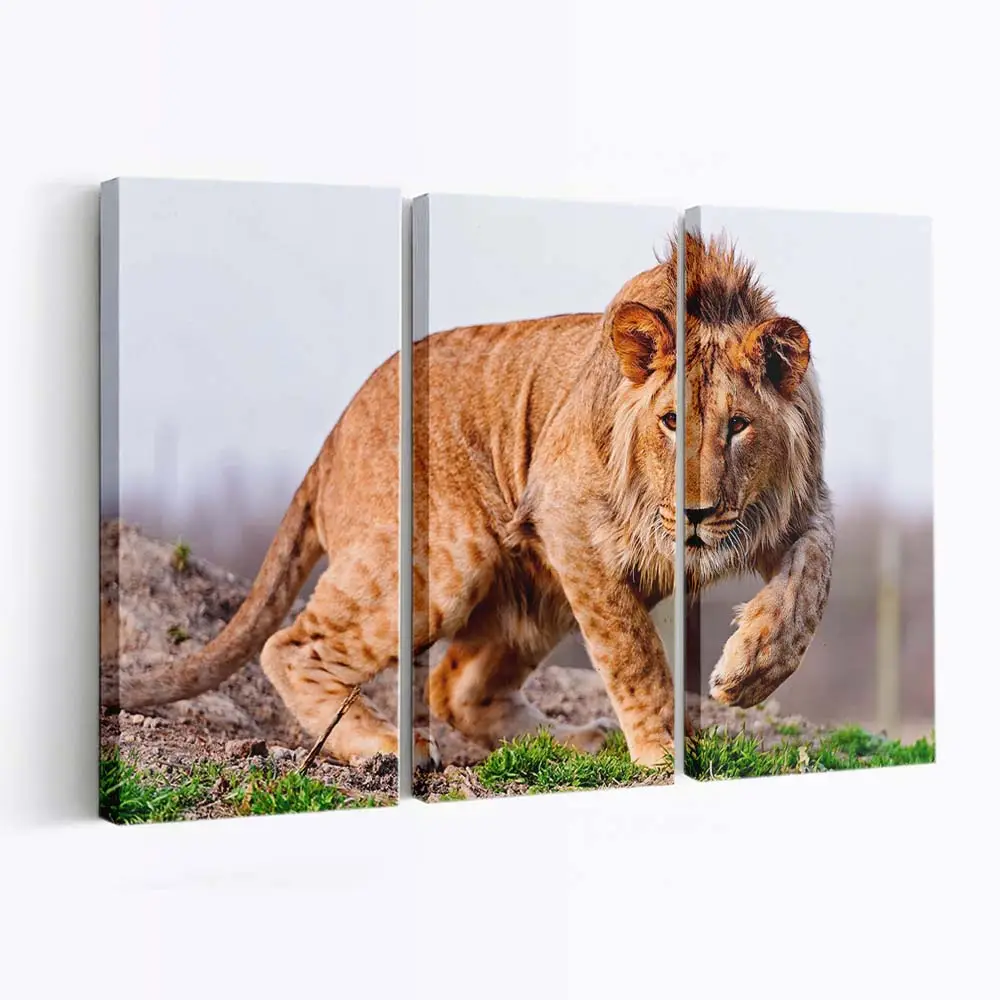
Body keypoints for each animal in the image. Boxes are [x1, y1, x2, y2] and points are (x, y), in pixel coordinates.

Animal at [107, 229, 833, 768]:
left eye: (737, 426)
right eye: (672, 422)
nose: (696, 514)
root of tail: (332, 440)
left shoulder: (800, 507)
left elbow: (810, 583)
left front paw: (751, 670)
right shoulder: (569, 520)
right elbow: (634, 653)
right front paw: (661, 751)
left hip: (532, 593)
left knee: (453, 686)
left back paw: (575, 740)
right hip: (449, 559)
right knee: (291, 646)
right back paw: (382, 746)